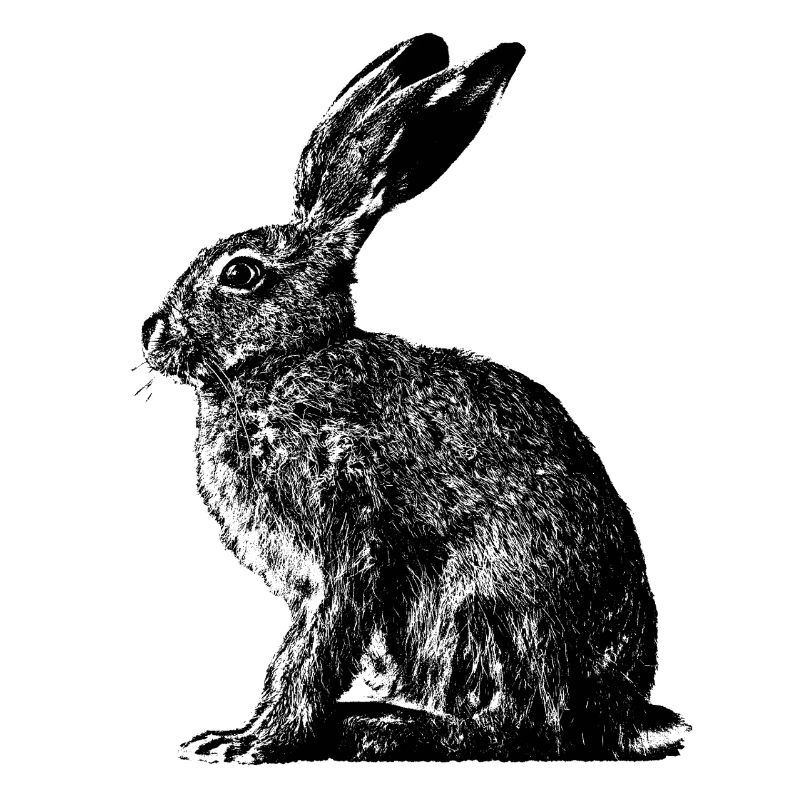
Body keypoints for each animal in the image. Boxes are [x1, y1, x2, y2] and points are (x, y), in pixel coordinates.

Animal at [142, 34, 688, 762]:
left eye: (242, 274)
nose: (150, 334)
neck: (289, 363)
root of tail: (619, 712)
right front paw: (235, 735)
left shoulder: (346, 535)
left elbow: (309, 653)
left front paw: (254, 742)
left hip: (480, 610)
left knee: (522, 728)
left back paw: (379, 729)